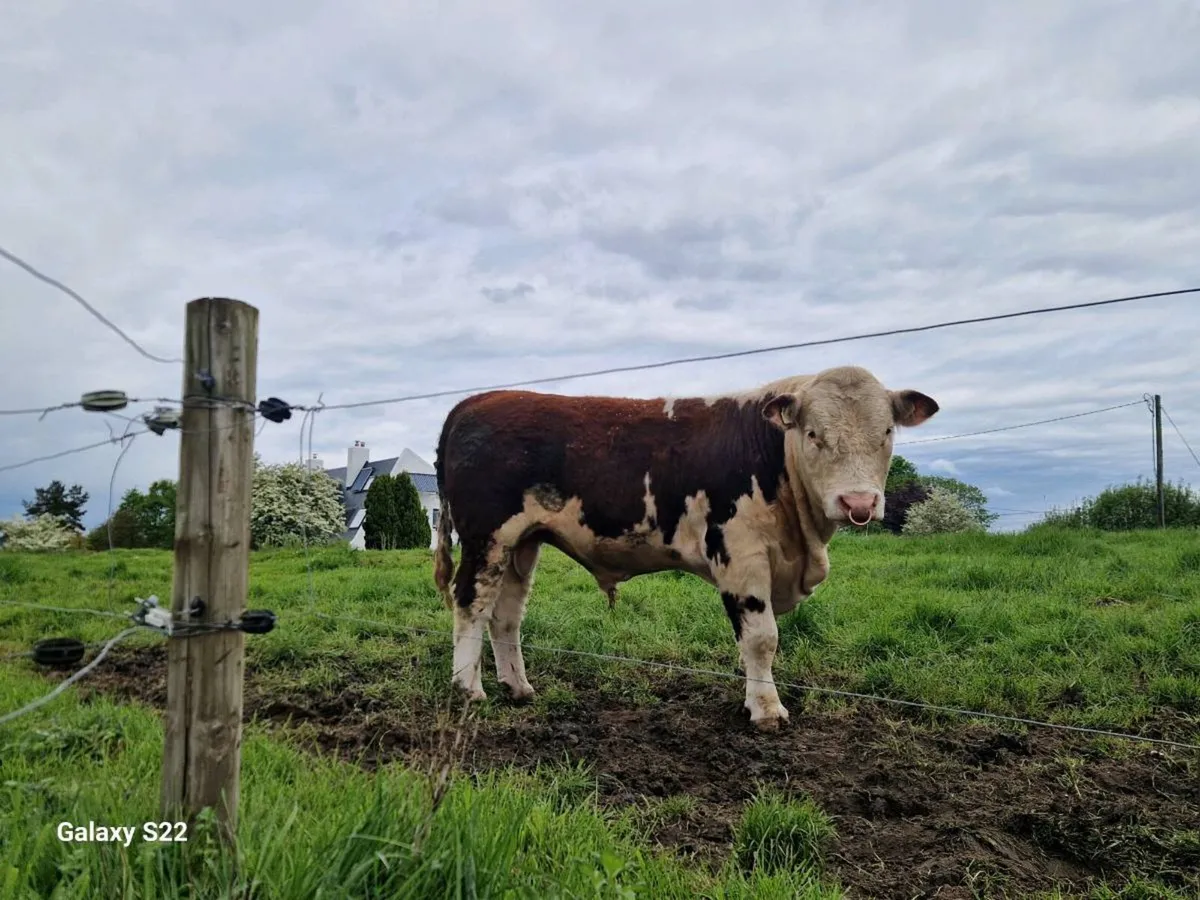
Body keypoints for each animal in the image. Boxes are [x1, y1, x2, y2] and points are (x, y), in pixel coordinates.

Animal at [432, 365, 939, 731]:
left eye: (886, 433)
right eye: (813, 433)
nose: (859, 503)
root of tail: (477, 401)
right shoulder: (740, 554)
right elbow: (762, 638)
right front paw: (766, 711)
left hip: (522, 543)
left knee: (506, 614)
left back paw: (518, 688)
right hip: (487, 537)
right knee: (471, 603)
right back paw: (468, 689)